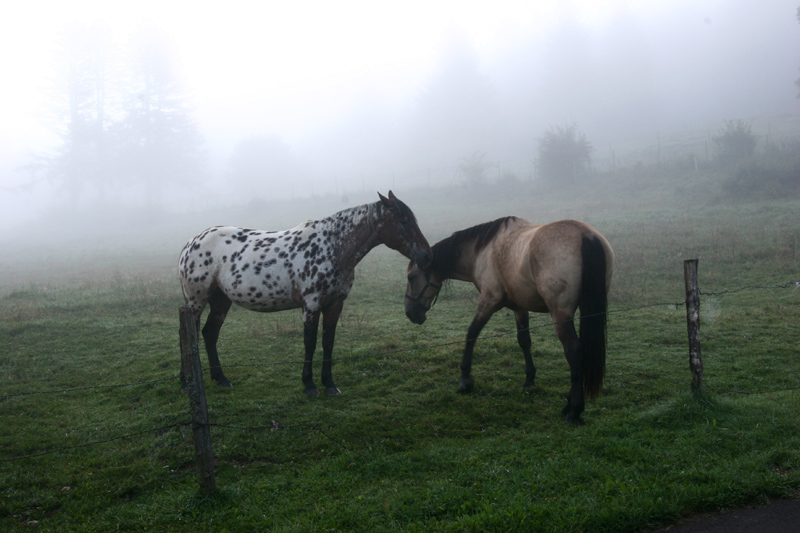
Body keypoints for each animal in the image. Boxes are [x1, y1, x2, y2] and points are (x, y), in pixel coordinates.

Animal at [406, 216, 612, 424]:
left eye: (411, 277)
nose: (410, 313)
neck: (482, 252)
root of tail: (587, 235)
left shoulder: (489, 301)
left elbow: (471, 334)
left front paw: (465, 380)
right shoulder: (520, 308)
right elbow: (524, 341)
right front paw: (529, 379)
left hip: (560, 314)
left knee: (574, 351)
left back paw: (574, 410)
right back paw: (569, 403)